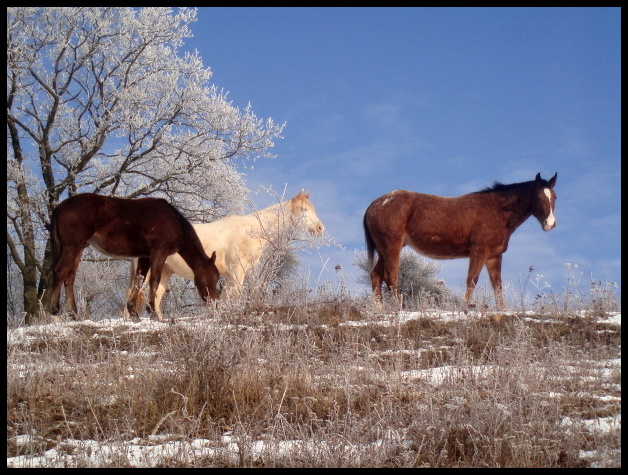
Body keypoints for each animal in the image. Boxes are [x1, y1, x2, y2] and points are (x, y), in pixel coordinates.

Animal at [47, 193, 218, 324]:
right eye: (212, 279)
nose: (214, 304)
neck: (174, 221)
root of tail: (62, 206)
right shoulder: (159, 252)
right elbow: (153, 281)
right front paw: (153, 312)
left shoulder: (145, 256)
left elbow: (139, 281)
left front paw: (133, 312)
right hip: (72, 247)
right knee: (60, 272)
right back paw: (55, 311)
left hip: (78, 248)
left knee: (69, 277)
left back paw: (74, 314)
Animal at [125, 190, 326, 320]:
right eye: (304, 210)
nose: (320, 228)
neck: (251, 230)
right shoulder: (238, 271)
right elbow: (235, 294)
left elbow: (226, 297)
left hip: (165, 271)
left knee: (156, 294)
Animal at [364, 173, 560, 310]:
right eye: (538, 197)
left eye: (554, 197)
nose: (550, 224)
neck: (498, 210)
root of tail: (373, 206)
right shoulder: (479, 252)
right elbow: (472, 280)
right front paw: (466, 307)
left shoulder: (494, 256)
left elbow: (497, 285)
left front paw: (502, 310)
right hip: (392, 247)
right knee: (391, 276)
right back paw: (399, 306)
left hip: (383, 250)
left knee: (376, 275)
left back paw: (379, 309)